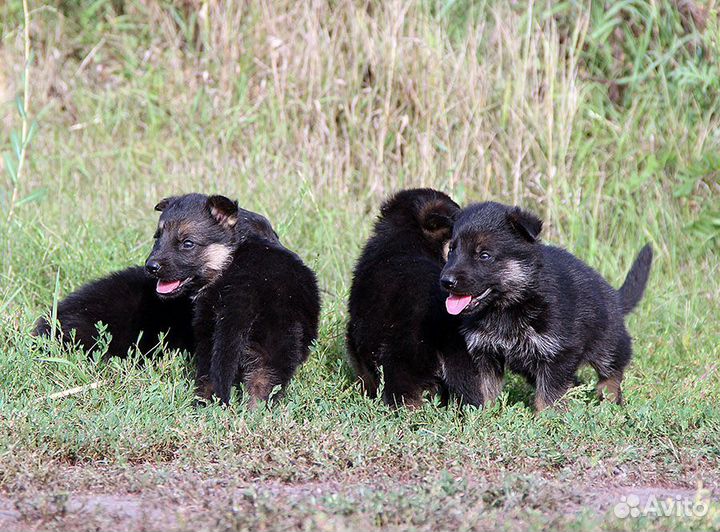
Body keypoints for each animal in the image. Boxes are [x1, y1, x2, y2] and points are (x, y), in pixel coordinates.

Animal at [146, 193, 320, 406]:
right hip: (272, 344)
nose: (150, 266)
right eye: (158, 238)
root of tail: (244, 288)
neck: (233, 248)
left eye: (187, 243)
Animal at [438, 202, 652, 410]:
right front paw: (482, 414)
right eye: (452, 250)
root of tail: (614, 296)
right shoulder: (485, 354)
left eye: (484, 255)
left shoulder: (558, 354)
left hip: (608, 344)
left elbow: (549, 395)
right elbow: (483, 389)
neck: (511, 304)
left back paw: (609, 401)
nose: (445, 281)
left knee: (612, 372)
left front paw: (546, 417)